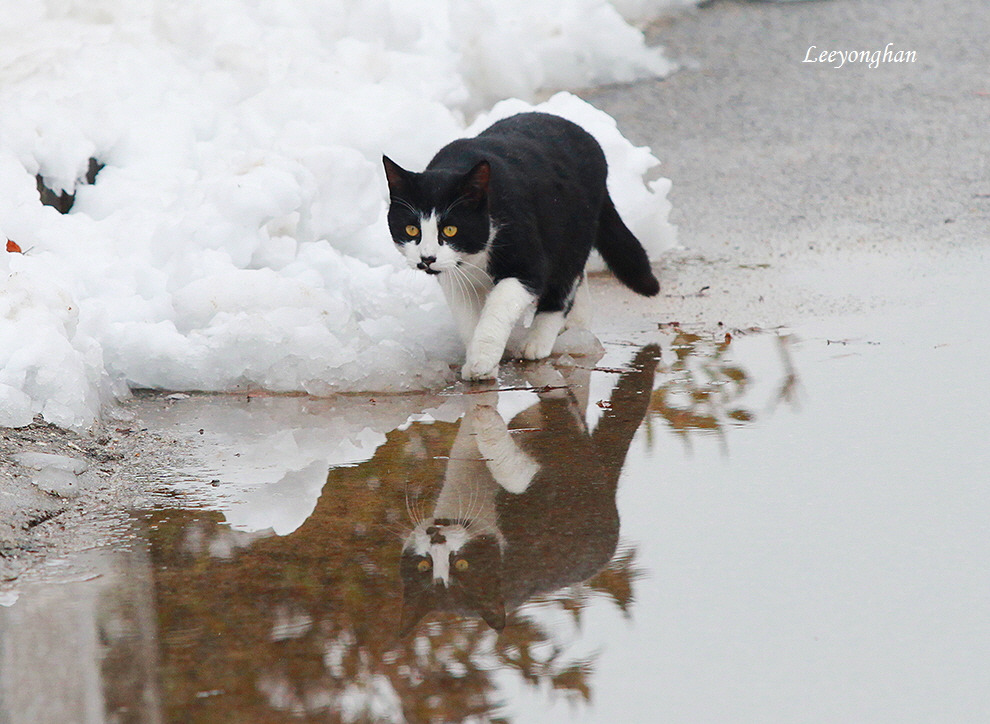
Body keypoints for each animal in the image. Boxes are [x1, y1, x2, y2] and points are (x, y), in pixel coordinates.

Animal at [384, 111, 664, 382]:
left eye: (450, 229)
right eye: (412, 229)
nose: (427, 258)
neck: (475, 257)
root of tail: (586, 136)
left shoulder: (527, 264)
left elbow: (498, 307)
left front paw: (482, 360)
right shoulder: (455, 278)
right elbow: (467, 319)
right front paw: (478, 360)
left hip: (573, 230)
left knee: (563, 283)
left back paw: (539, 340)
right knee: (578, 277)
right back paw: (578, 324)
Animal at [400, 346, 664, 632]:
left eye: (462, 565)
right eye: (423, 566)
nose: (437, 537)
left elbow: (512, 470)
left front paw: (486, 420)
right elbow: (467, 444)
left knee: (563, 410)